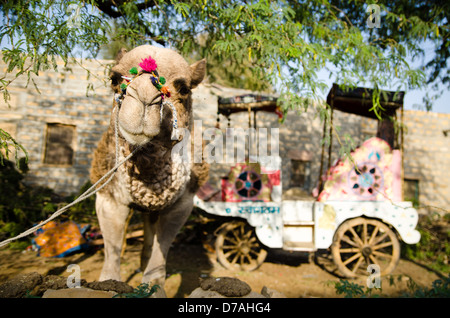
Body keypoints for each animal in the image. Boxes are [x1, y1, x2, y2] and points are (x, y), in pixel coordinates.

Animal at [90, 44, 210, 290]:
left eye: (183, 88)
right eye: (114, 78)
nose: (144, 97)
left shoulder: (182, 203)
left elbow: (160, 252)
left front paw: (153, 287)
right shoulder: (108, 197)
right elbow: (112, 250)